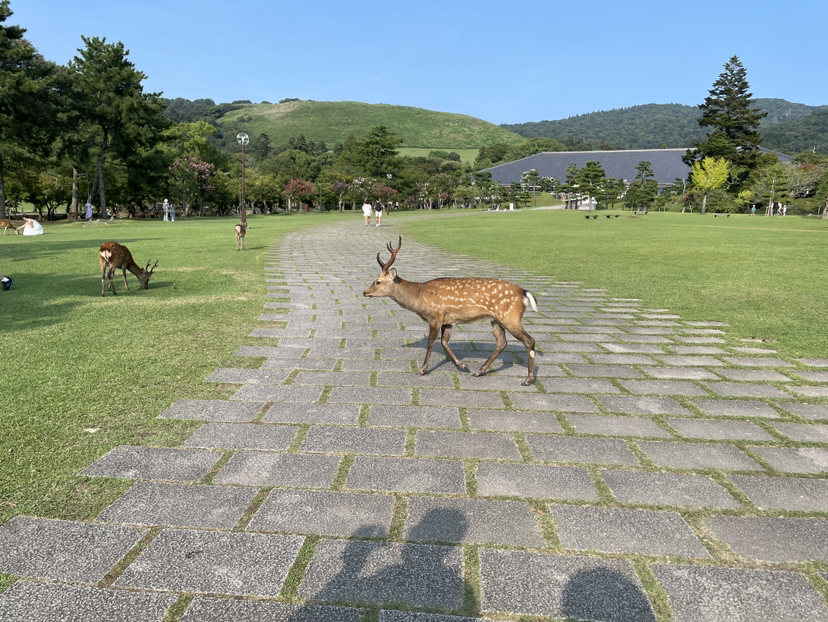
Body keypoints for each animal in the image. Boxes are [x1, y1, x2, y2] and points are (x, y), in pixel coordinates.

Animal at [363, 236, 538, 385]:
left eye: (378, 281)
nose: (365, 292)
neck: (419, 297)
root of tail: (524, 292)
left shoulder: (435, 316)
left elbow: (431, 342)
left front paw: (422, 369)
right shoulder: (448, 321)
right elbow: (444, 342)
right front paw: (462, 365)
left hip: (510, 316)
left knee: (529, 340)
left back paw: (528, 379)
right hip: (496, 319)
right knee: (501, 342)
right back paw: (479, 371)